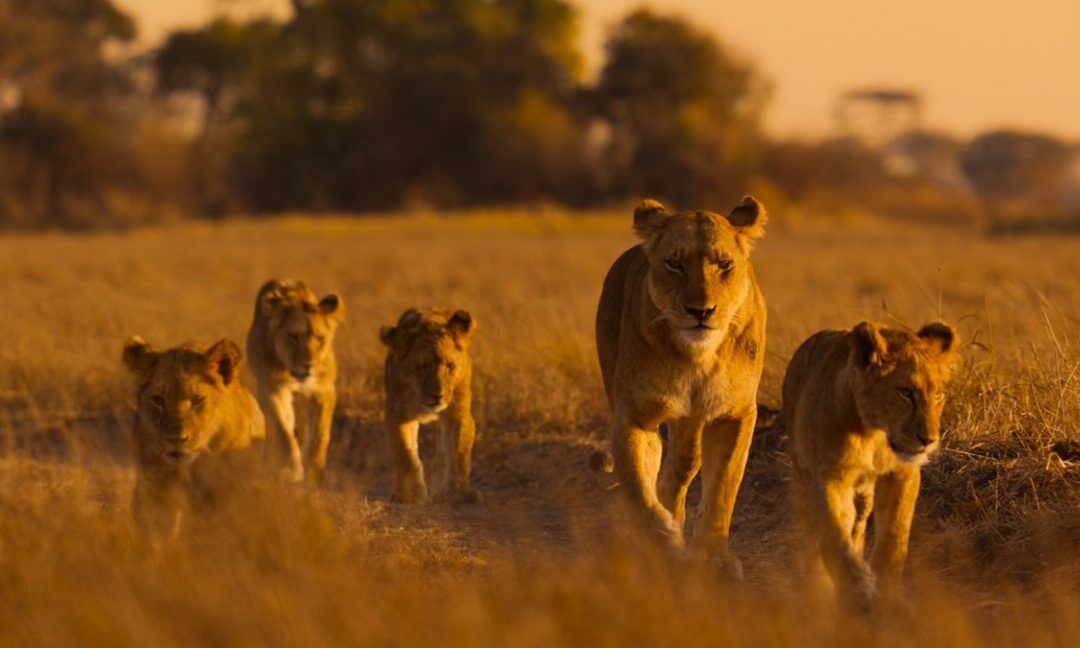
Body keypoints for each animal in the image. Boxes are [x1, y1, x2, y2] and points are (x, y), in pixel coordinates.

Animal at [246, 279, 344, 485]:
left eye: (320, 338)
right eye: (293, 337)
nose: (309, 365)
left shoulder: (324, 391)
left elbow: (319, 433)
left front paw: (315, 469)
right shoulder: (273, 390)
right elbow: (284, 431)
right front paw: (294, 468)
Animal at [380, 308, 480, 505]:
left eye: (450, 366)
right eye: (422, 367)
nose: (437, 396)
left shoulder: (458, 413)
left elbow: (458, 451)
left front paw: (459, 493)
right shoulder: (398, 415)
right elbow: (406, 455)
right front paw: (411, 495)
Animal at [595, 196, 768, 578]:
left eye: (724, 264)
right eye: (674, 264)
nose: (700, 311)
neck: (696, 356)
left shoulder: (734, 414)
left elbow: (722, 489)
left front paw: (716, 557)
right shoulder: (634, 416)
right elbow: (638, 488)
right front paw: (664, 539)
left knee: (683, 464)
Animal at [783, 321, 958, 609]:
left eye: (938, 395)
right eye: (906, 392)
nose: (929, 440)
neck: (875, 433)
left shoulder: (902, 474)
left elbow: (895, 534)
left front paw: (884, 586)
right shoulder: (830, 477)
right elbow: (833, 534)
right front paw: (857, 586)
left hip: (864, 495)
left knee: (858, 524)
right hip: (801, 475)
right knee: (813, 534)